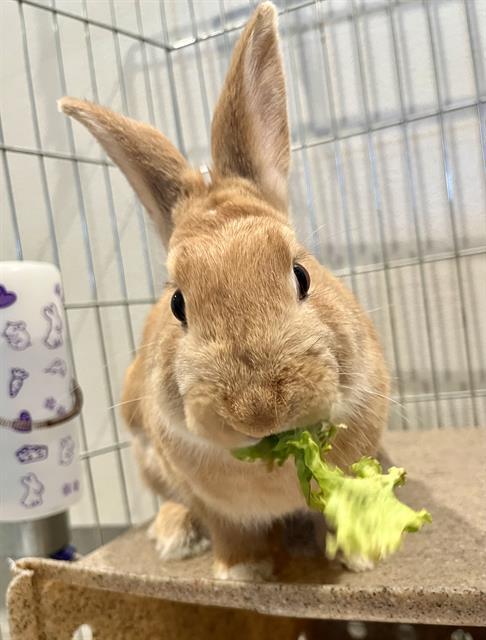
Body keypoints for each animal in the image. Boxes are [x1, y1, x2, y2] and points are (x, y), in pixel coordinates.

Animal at [59, 2, 390, 580]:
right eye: (178, 304)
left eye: (301, 274)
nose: (260, 411)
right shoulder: (212, 501)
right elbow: (229, 531)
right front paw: (242, 572)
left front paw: (360, 557)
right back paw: (173, 534)